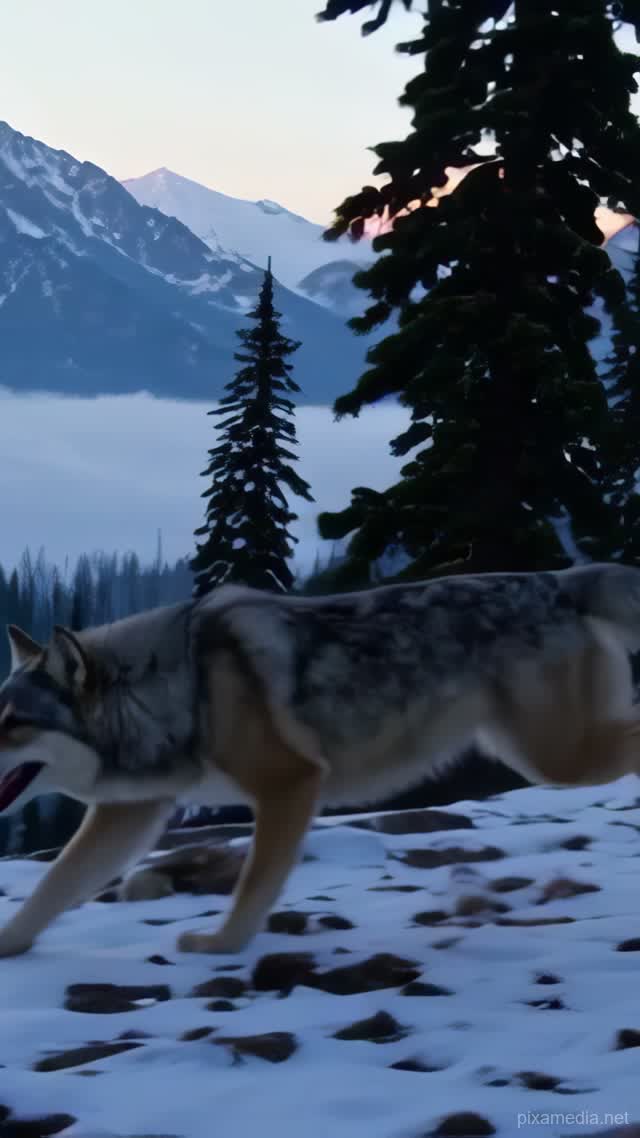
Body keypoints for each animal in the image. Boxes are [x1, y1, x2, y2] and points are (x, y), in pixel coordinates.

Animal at [0, 561, 640, 959]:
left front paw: (221, 947)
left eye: (14, 723)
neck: (173, 691)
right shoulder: (129, 814)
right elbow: (51, 889)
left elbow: (254, 886)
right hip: (541, 752)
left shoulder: (289, 784)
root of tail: (558, 579)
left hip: (558, 759)